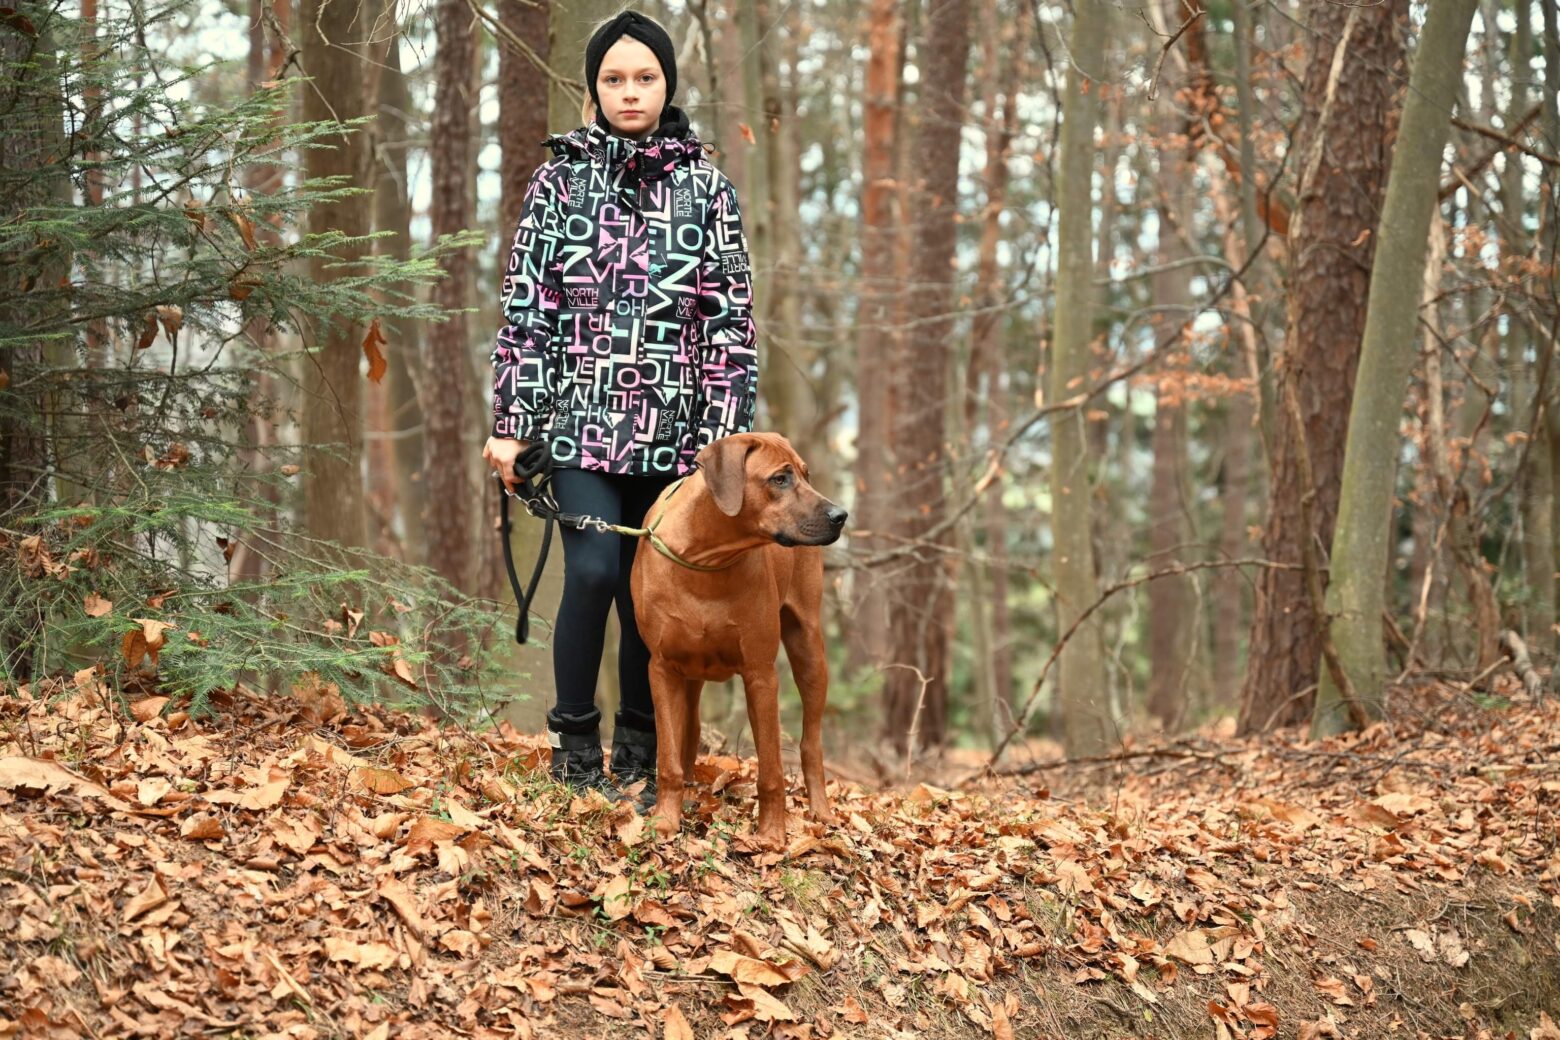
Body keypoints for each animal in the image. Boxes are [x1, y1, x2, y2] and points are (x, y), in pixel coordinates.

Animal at [629, 432, 846, 849]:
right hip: (689, 673)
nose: (840, 515)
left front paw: (772, 835)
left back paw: (822, 811)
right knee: (689, 734)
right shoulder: (660, 668)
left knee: (811, 743)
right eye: (780, 479)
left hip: (809, 647)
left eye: (806, 475)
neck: (706, 558)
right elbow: (668, 759)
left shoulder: (760, 673)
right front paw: (665, 821)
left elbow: (771, 771)